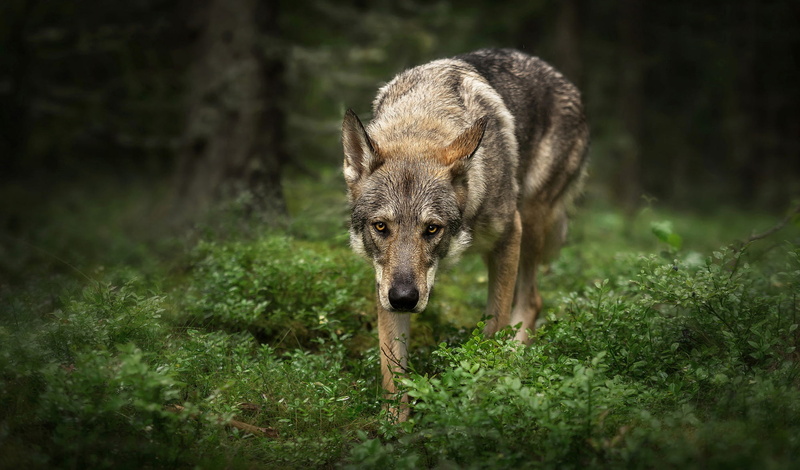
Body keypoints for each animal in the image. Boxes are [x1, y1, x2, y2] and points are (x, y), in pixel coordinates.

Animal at [342, 48, 588, 420]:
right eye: (381, 226)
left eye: (432, 228)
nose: (404, 299)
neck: (421, 121)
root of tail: (564, 80)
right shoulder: (384, 282)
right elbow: (392, 370)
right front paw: (394, 426)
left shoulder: (508, 237)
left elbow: (493, 329)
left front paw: (482, 398)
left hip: (531, 222)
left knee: (531, 301)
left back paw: (514, 366)